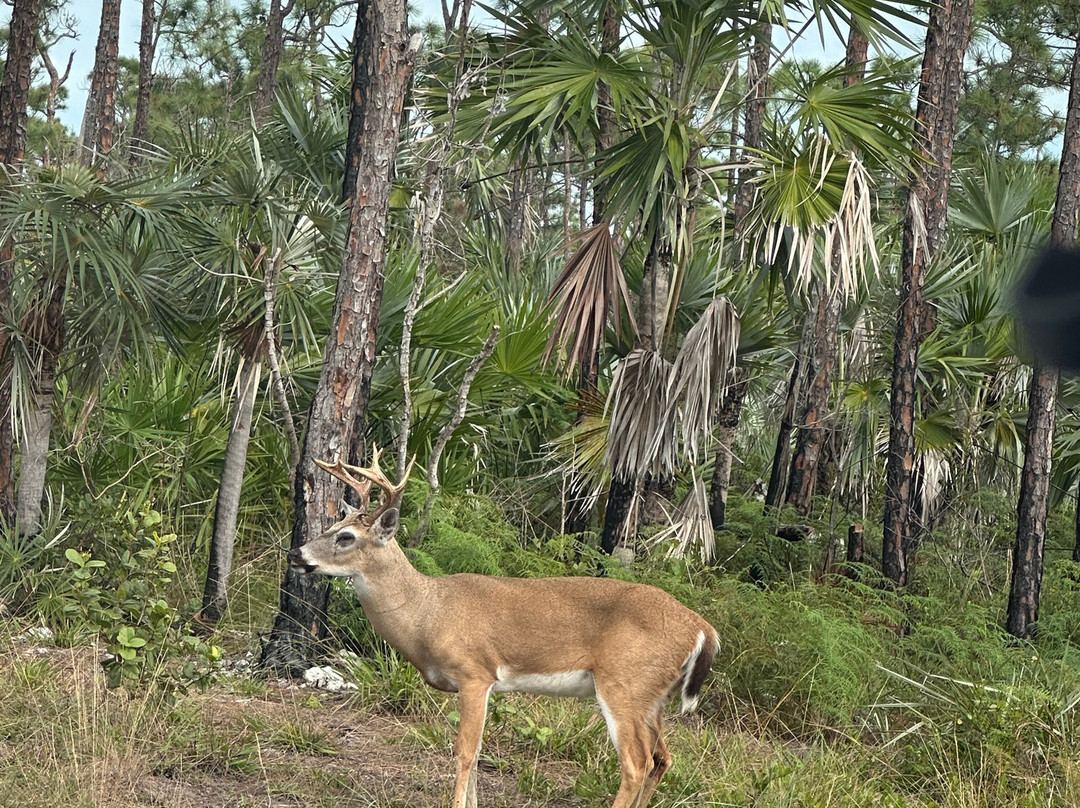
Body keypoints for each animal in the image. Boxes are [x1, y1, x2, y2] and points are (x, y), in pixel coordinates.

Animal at [288, 448, 719, 808]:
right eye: (334, 524)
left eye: (346, 536)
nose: (296, 553)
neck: (428, 614)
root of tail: (702, 627)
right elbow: (478, 753)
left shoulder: (474, 673)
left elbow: (464, 752)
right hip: (653, 696)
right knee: (662, 758)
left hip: (623, 683)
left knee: (636, 763)